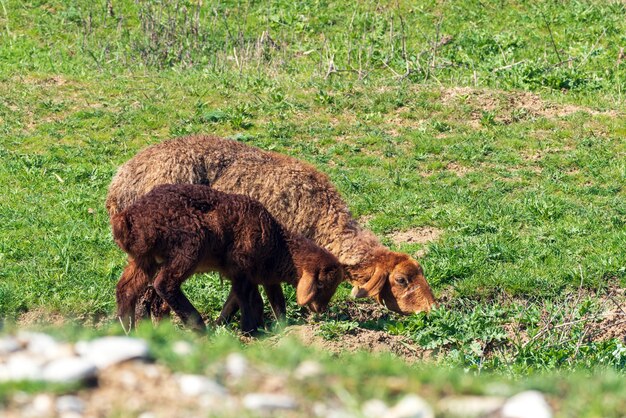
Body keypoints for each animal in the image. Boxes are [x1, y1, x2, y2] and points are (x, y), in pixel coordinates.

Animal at [108, 183, 342, 334]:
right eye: (321, 285)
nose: (321, 310)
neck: (279, 247)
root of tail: (127, 219)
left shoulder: (254, 276)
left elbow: (264, 302)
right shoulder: (242, 269)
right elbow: (250, 301)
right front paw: (250, 331)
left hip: (145, 259)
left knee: (126, 288)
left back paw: (125, 328)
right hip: (189, 244)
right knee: (164, 283)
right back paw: (198, 326)